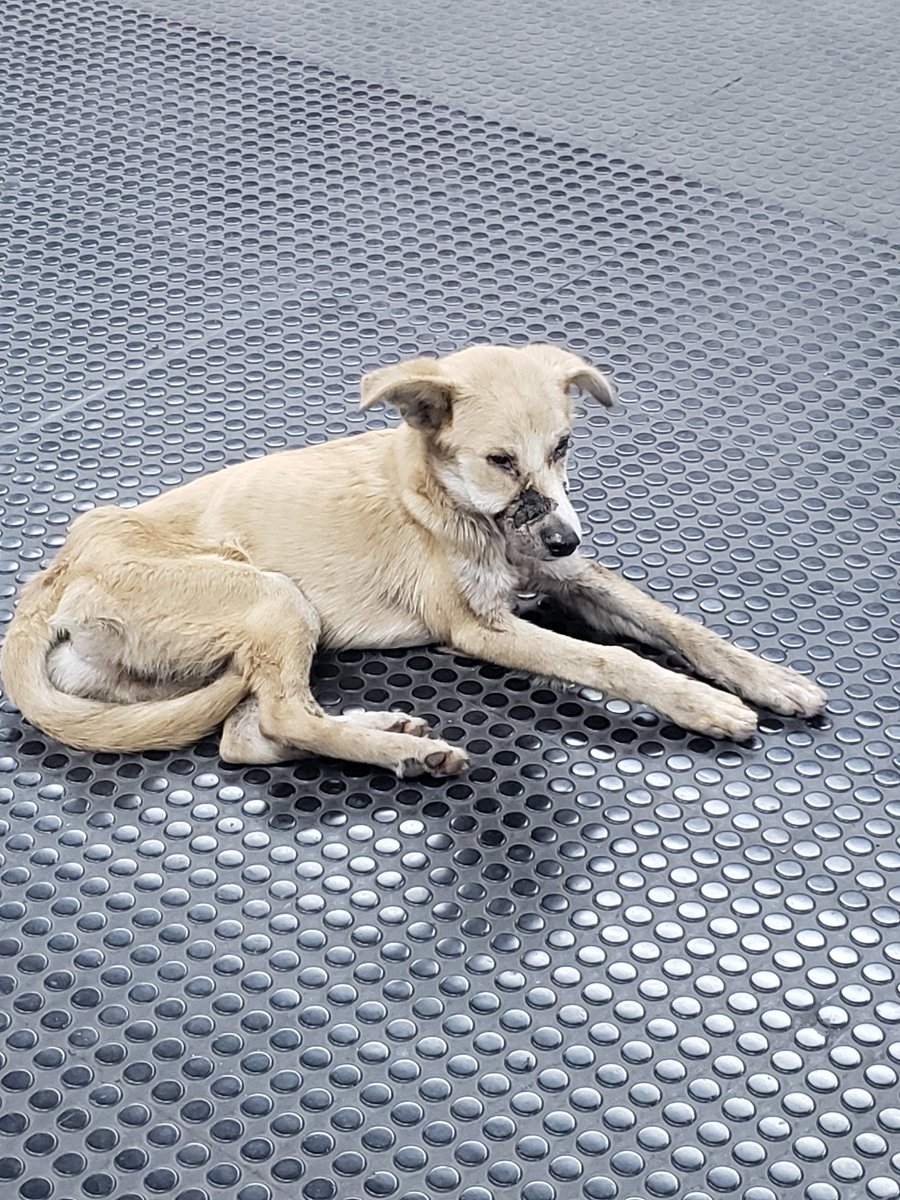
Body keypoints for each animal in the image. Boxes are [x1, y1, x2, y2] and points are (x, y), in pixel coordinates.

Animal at [0, 348, 830, 777]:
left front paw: (768, 678)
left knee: (248, 736)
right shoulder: (482, 627)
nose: (566, 538)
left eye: (563, 446)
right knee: (281, 714)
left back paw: (388, 731)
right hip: (275, 598)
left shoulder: (574, 581)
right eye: (500, 461)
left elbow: (679, 627)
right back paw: (409, 751)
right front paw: (704, 706)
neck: (463, 511)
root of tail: (59, 567)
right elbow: (616, 661)